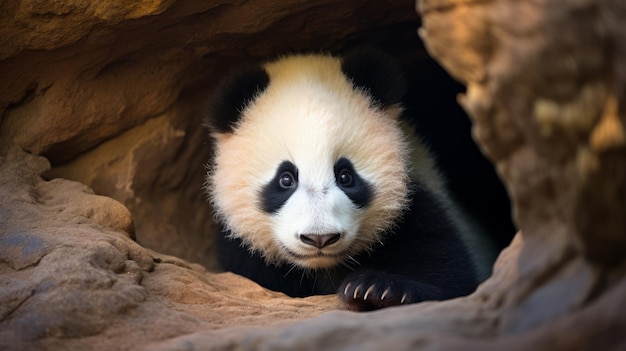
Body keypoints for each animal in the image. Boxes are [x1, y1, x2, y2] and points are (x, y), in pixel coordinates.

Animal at [205, 48, 478, 312]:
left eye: (345, 176)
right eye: (286, 179)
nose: (319, 238)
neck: (323, 267)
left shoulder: (415, 203)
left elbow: (445, 266)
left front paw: (377, 289)